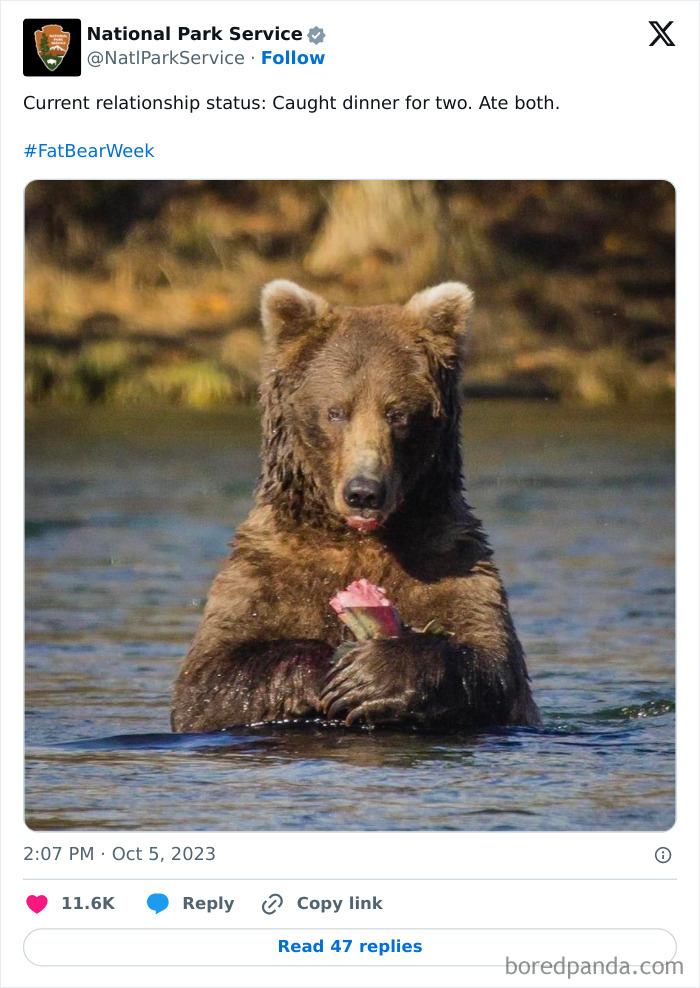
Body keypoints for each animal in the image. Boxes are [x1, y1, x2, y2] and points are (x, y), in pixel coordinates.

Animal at [171, 280, 540, 732]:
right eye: (336, 411)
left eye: (397, 412)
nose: (364, 492)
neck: (357, 539)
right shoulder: (264, 570)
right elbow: (208, 682)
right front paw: (330, 665)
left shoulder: (450, 558)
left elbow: (493, 667)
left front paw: (373, 673)